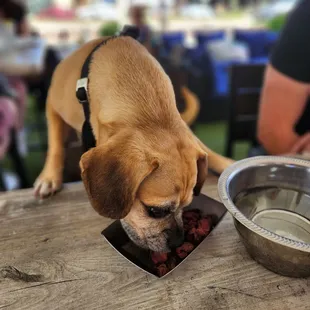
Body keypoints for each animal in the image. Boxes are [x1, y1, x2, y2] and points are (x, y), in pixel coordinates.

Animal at [34, 35, 232, 252]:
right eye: (155, 211)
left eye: (186, 205)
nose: (178, 243)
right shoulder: (52, 105)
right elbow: (55, 142)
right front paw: (49, 177)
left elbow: (204, 149)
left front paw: (226, 163)